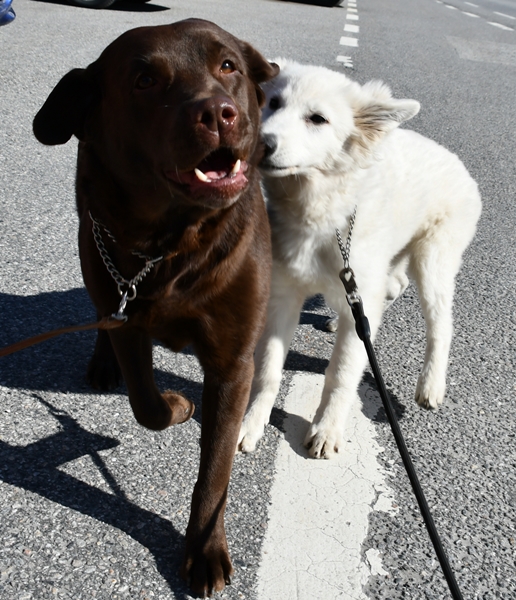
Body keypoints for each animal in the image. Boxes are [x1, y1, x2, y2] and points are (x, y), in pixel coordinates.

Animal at [32, 18, 278, 596]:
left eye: (228, 65)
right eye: (144, 80)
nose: (218, 113)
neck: (173, 247)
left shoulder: (233, 361)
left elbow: (215, 469)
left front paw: (204, 550)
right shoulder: (129, 315)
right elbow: (145, 404)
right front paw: (179, 405)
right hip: (91, 245)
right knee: (103, 311)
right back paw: (102, 364)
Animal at [237, 59, 480, 460]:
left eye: (318, 119)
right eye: (272, 103)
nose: (261, 144)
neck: (322, 213)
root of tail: (459, 163)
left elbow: (341, 374)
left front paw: (327, 429)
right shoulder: (283, 296)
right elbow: (267, 370)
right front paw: (250, 424)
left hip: (433, 261)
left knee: (441, 324)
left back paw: (431, 385)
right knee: (390, 288)